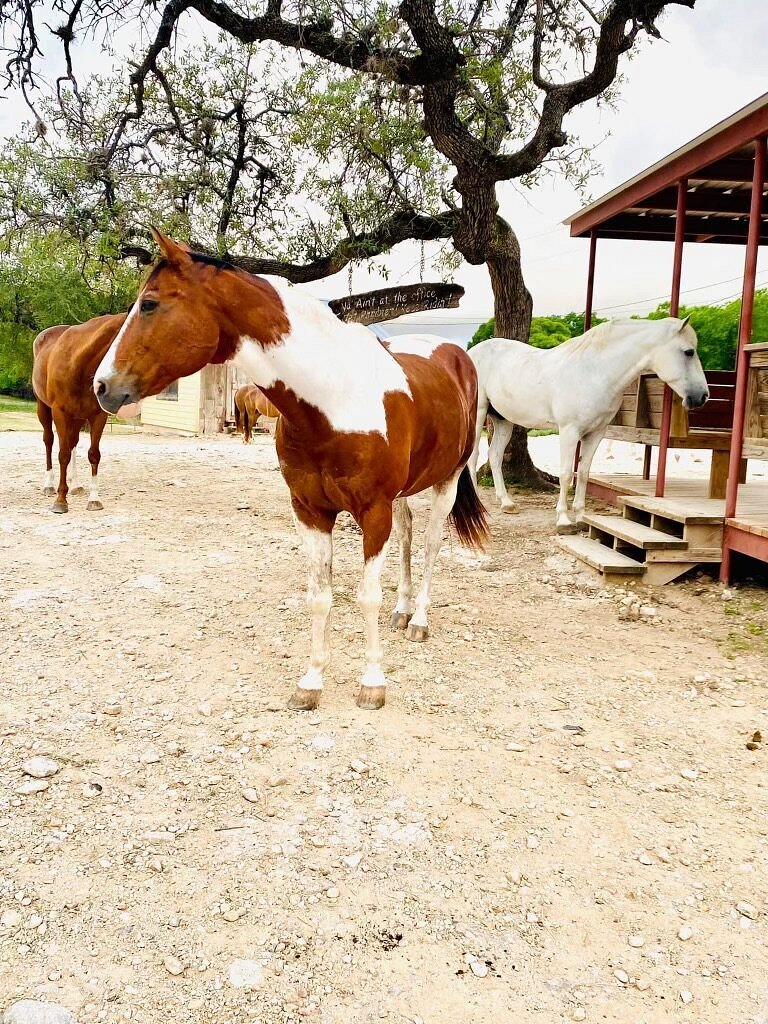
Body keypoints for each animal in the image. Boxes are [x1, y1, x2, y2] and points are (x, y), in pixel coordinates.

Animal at [32, 312, 127, 513]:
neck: (79, 366)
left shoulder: (98, 415)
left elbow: (93, 454)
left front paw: (94, 499)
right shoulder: (60, 412)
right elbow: (63, 454)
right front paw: (61, 500)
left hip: (77, 417)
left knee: (73, 443)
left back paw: (75, 485)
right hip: (43, 408)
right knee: (49, 441)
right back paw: (49, 485)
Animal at [93, 229, 488, 712]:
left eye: (149, 304)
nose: (102, 386)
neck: (333, 398)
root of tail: (456, 355)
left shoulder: (372, 512)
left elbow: (366, 596)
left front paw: (372, 682)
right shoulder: (309, 511)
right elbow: (319, 597)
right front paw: (312, 681)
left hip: (446, 481)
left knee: (430, 545)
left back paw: (419, 620)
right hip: (403, 494)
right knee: (409, 539)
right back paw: (402, 610)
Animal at [467, 317, 709, 531]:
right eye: (689, 352)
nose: (703, 396)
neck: (594, 372)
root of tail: (471, 354)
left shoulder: (596, 433)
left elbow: (583, 472)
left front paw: (582, 517)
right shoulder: (569, 431)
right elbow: (566, 473)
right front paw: (564, 520)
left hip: (503, 420)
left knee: (495, 456)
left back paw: (507, 503)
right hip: (478, 415)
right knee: (473, 457)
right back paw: (477, 504)